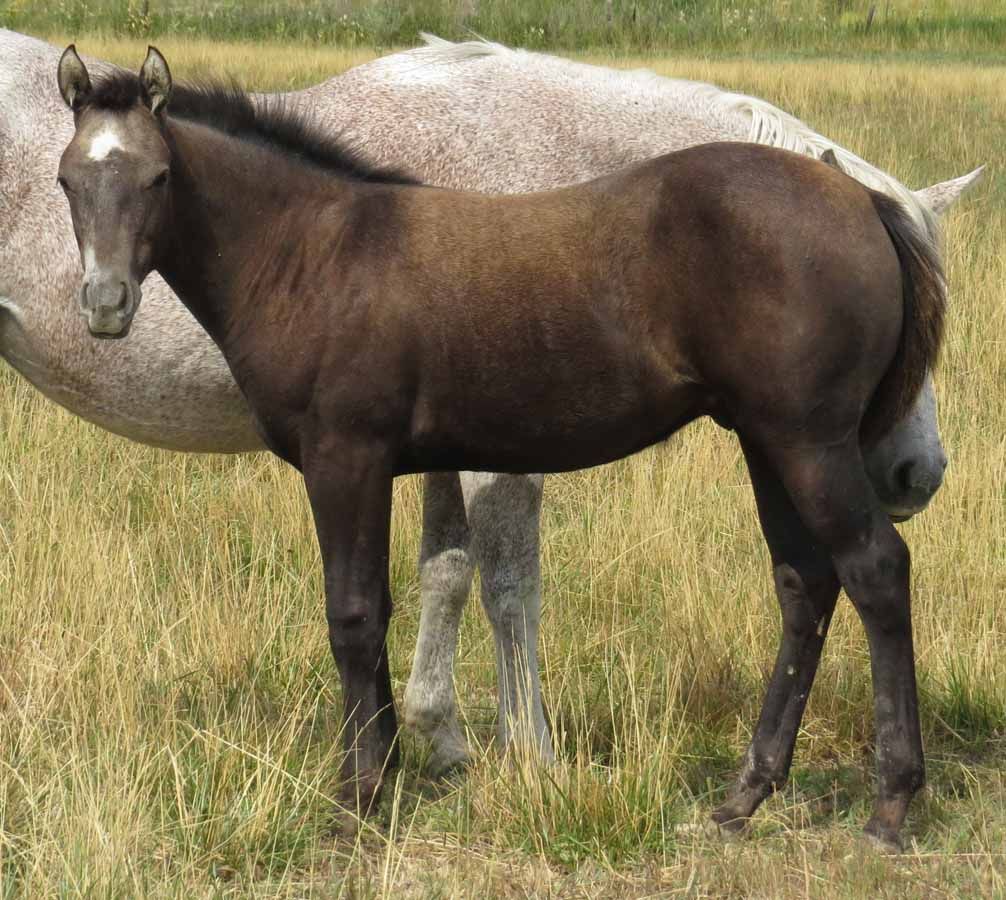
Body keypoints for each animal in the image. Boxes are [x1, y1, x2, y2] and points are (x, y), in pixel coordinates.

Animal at [0, 30, 982, 777]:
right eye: (920, 314)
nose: (919, 473)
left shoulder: (434, 445)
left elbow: (443, 573)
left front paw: (439, 739)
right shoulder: (488, 455)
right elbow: (510, 585)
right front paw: (531, 756)